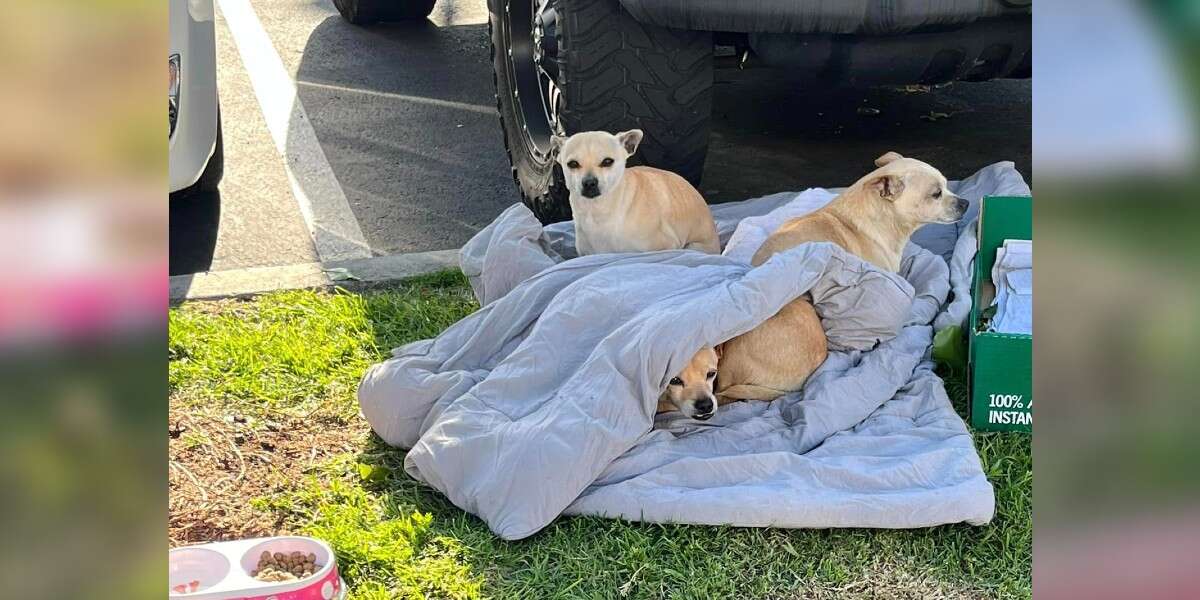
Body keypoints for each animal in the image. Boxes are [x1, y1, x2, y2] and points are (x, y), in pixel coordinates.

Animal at [554, 130, 720, 254]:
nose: (589, 182)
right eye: (572, 164)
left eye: (607, 161)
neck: (596, 213)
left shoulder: (667, 246)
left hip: (693, 247)